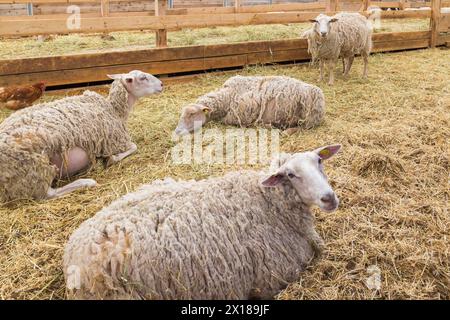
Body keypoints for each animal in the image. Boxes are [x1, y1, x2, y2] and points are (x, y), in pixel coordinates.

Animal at [0, 70, 163, 202]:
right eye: (142, 78)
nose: (161, 84)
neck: (113, 109)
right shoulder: (114, 142)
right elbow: (134, 147)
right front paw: (110, 159)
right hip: (34, 169)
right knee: (47, 194)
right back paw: (86, 182)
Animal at [63, 145, 342, 300]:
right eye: (291, 175)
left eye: (319, 161)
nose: (329, 198)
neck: (266, 201)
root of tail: (73, 249)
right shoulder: (272, 280)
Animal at [174, 75, 326, 136]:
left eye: (192, 114)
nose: (177, 131)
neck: (228, 96)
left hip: (308, 118)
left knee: (302, 127)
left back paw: (282, 131)